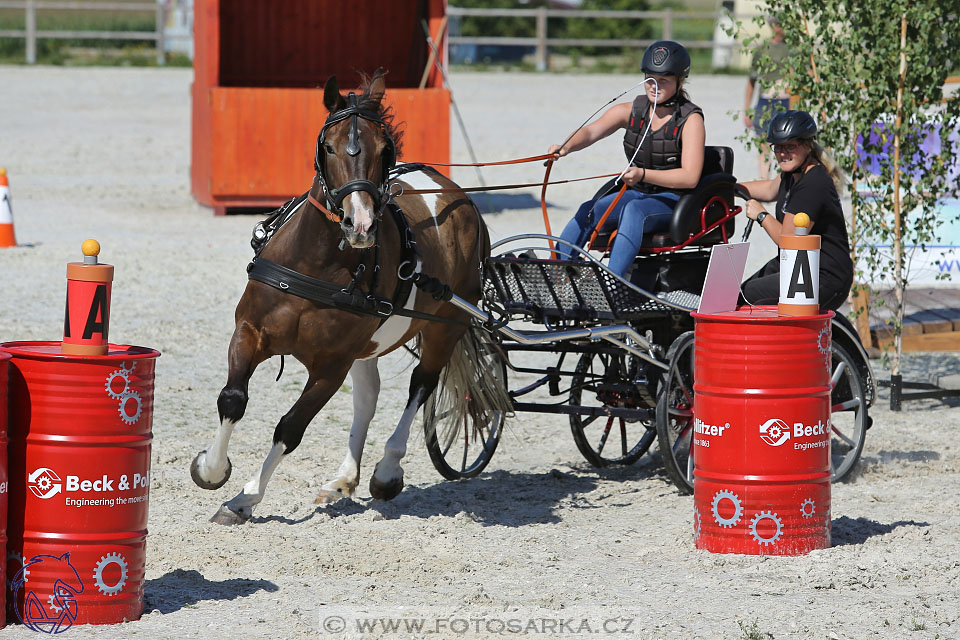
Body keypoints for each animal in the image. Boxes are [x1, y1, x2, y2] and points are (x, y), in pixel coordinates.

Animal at [192, 67, 498, 524]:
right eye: (329, 147)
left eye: (385, 149)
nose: (361, 224)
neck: (314, 265)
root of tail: (457, 195)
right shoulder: (250, 332)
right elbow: (232, 399)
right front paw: (211, 469)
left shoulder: (331, 366)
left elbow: (290, 428)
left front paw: (244, 498)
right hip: (368, 345)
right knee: (368, 397)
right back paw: (343, 479)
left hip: (446, 328)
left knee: (421, 385)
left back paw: (387, 472)